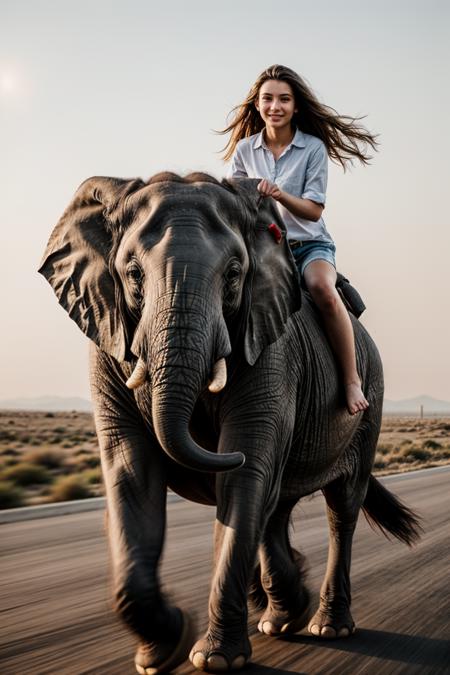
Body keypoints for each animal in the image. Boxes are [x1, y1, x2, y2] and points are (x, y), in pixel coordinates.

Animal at [39, 173, 422, 675]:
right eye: (133, 274)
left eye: (235, 274)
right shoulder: (107, 339)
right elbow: (131, 475)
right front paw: (161, 651)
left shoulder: (271, 347)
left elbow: (245, 476)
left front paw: (214, 659)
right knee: (275, 508)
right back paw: (282, 615)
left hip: (368, 405)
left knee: (340, 509)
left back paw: (326, 626)